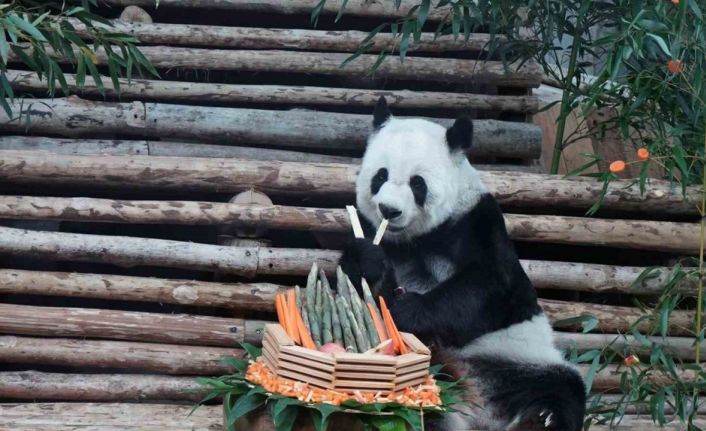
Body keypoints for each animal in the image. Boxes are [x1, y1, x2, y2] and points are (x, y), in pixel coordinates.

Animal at [340, 97, 586, 431]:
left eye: (418, 183)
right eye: (380, 176)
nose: (389, 210)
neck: (414, 239)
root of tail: (478, 412)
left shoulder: (475, 222)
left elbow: (489, 287)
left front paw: (409, 310)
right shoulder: (371, 228)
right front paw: (367, 263)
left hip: (520, 357)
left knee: (563, 388)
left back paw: (542, 418)